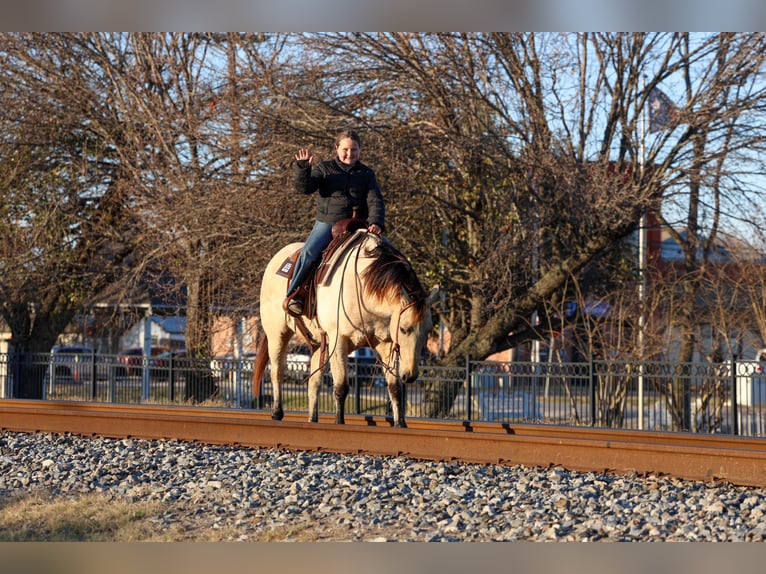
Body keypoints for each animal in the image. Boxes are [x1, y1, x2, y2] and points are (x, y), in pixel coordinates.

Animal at [252, 230, 439, 428]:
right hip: (277, 334)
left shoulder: (387, 344)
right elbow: (341, 386)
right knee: (277, 371)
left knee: (314, 382)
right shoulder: (339, 340)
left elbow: (395, 387)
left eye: (428, 331)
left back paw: (312, 419)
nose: (410, 376)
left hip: (319, 344)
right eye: (403, 329)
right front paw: (339, 422)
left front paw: (400, 424)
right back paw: (277, 413)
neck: (363, 286)